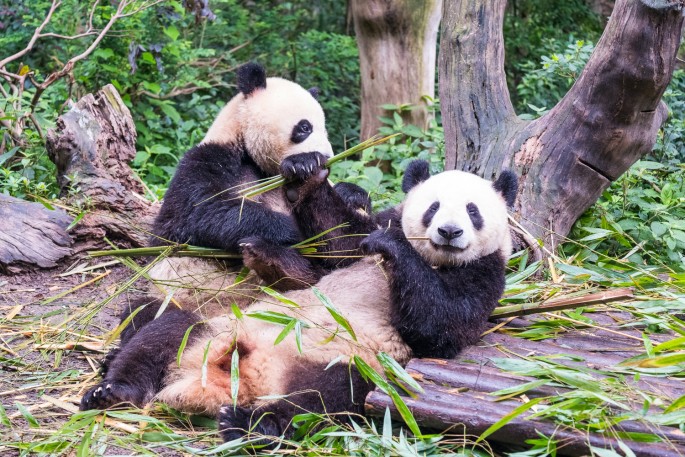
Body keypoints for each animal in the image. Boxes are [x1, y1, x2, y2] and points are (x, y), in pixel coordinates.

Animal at [81, 159, 520, 442]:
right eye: (433, 207)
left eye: (473, 211)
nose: (448, 232)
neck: (434, 259)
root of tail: (237, 379)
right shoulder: (364, 236)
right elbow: (334, 242)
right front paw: (307, 173)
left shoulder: (486, 275)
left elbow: (440, 326)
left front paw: (393, 248)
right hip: (212, 328)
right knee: (165, 330)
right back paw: (114, 391)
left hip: (346, 364)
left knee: (327, 397)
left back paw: (249, 424)